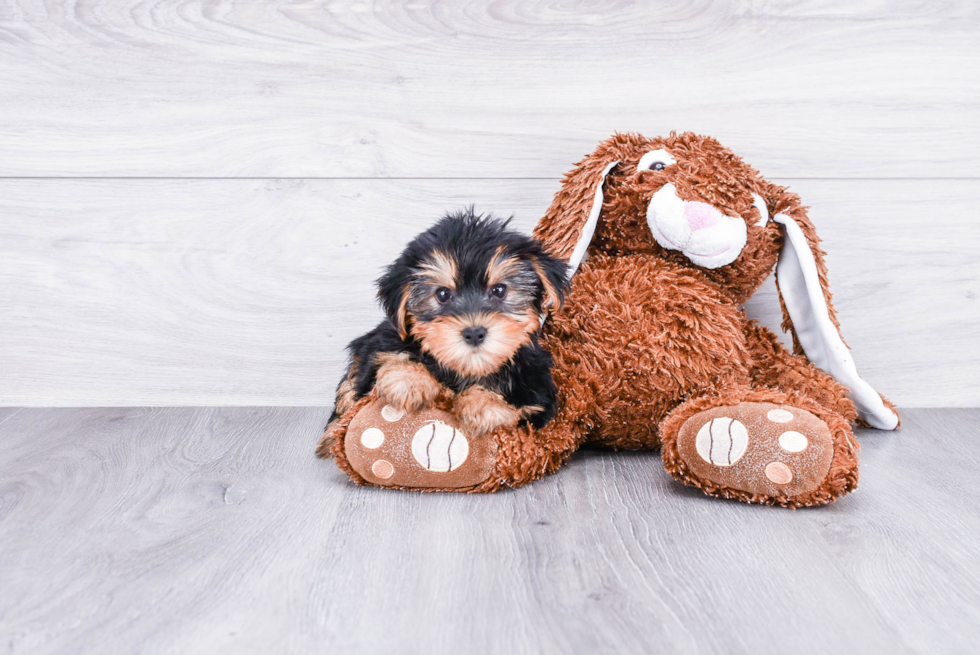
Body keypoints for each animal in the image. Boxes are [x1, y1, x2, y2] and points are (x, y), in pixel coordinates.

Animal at [322, 210, 568, 452]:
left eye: (499, 290)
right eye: (442, 294)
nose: (474, 333)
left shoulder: (536, 400)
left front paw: (486, 406)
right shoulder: (378, 349)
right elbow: (386, 362)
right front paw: (409, 379)